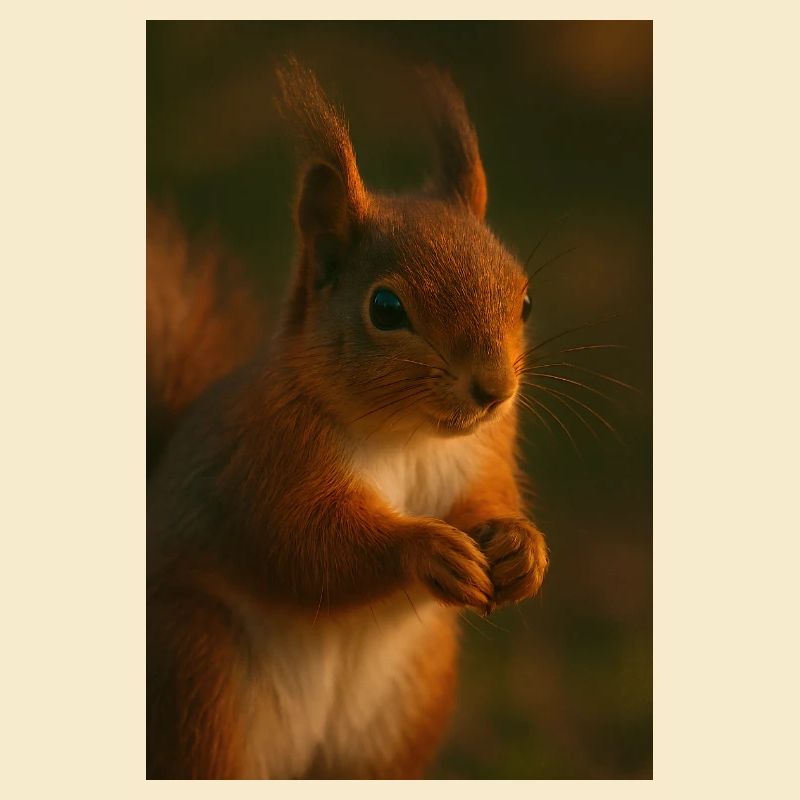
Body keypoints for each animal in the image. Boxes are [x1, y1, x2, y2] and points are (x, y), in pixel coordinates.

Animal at [147, 58, 549, 780]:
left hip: (401, 712)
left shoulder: (485, 451)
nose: (495, 391)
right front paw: (425, 548)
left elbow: (489, 498)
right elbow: (308, 545)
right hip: (198, 679)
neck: (408, 436)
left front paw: (520, 547)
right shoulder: (267, 462)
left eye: (524, 300)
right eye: (385, 309)